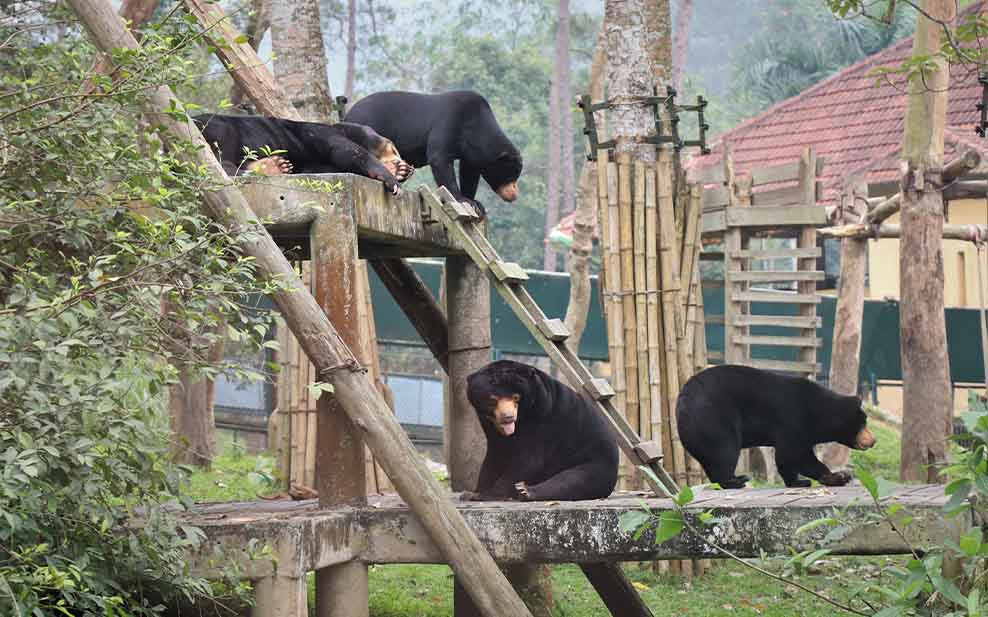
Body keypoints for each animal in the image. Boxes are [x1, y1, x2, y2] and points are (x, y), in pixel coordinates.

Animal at [191, 112, 412, 195]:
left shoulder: (314, 161)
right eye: (395, 149)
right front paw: (393, 178)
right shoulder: (317, 132)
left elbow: (322, 166)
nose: (406, 163)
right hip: (214, 128)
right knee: (220, 158)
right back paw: (272, 166)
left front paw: (401, 170)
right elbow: (343, 149)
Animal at [344, 89, 520, 217]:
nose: (514, 195)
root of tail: (348, 113)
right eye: (510, 176)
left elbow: (469, 172)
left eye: (515, 176)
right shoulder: (449, 122)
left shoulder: (470, 151)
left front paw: (476, 203)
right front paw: (461, 199)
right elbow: (439, 158)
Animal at [464, 358, 616, 498]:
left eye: (516, 397)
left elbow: (529, 460)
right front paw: (473, 492)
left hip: (593, 463)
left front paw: (487, 494)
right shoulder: (488, 425)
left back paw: (525, 491)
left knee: (571, 481)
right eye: (493, 399)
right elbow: (494, 456)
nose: (508, 417)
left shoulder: (542, 419)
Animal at [676, 364, 876, 488]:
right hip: (713, 417)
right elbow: (794, 453)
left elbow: (787, 458)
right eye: (863, 422)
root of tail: (681, 400)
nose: (873, 440)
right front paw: (837, 476)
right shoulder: (793, 418)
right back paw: (736, 480)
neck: (818, 411)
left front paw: (799, 481)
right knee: (724, 450)